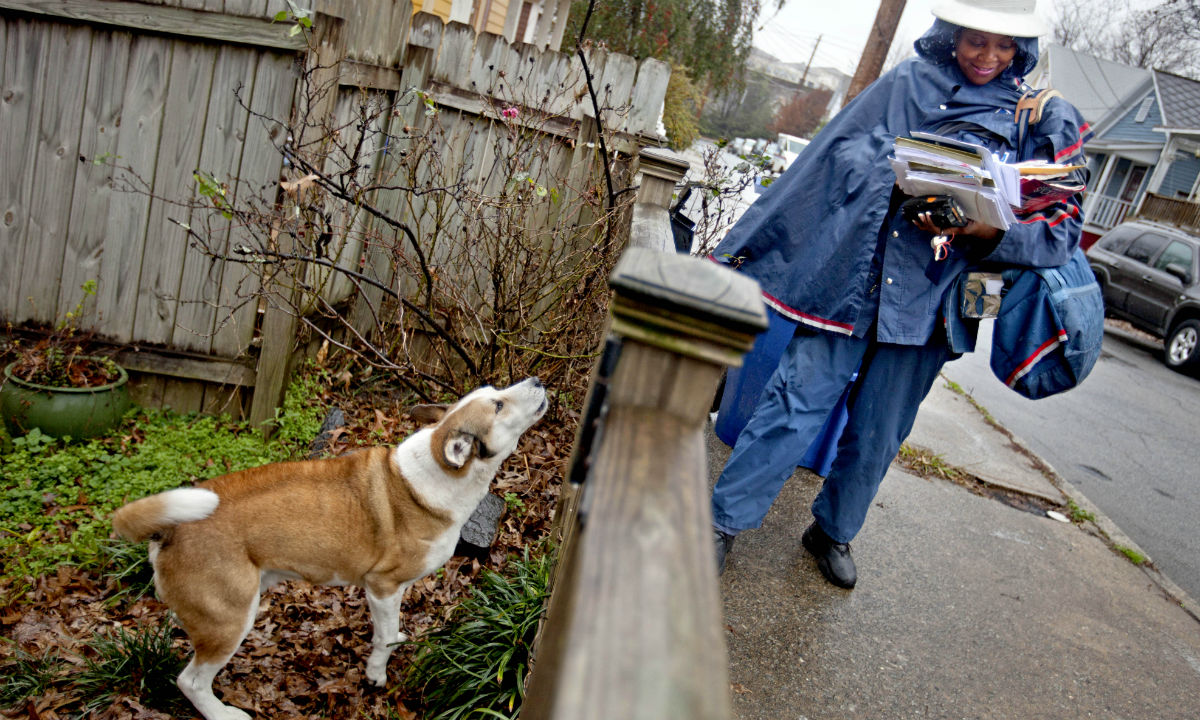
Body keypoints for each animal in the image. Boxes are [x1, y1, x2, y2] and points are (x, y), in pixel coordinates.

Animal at [110, 376, 549, 720]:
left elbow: (391, 630)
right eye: (498, 404)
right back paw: (223, 715)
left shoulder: (394, 592)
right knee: (191, 682)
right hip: (229, 622)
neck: (439, 473)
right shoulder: (382, 586)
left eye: (495, 393)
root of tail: (169, 530)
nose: (539, 381)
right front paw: (376, 674)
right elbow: (383, 639)